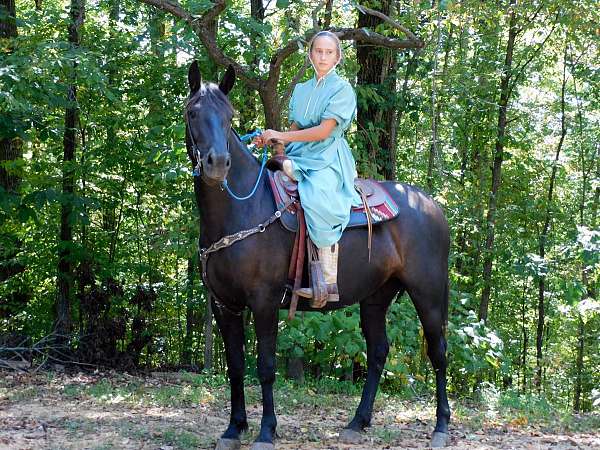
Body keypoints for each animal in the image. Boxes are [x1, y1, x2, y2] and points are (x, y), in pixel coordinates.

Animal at [188, 60, 450, 450]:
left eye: (228, 115)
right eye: (193, 112)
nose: (217, 162)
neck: (243, 208)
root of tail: (432, 205)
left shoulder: (264, 301)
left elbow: (266, 366)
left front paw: (266, 431)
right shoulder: (225, 304)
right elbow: (235, 365)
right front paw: (234, 428)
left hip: (428, 293)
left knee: (438, 351)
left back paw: (441, 427)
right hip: (376, 296)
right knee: (378, 352)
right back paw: (358, 422)